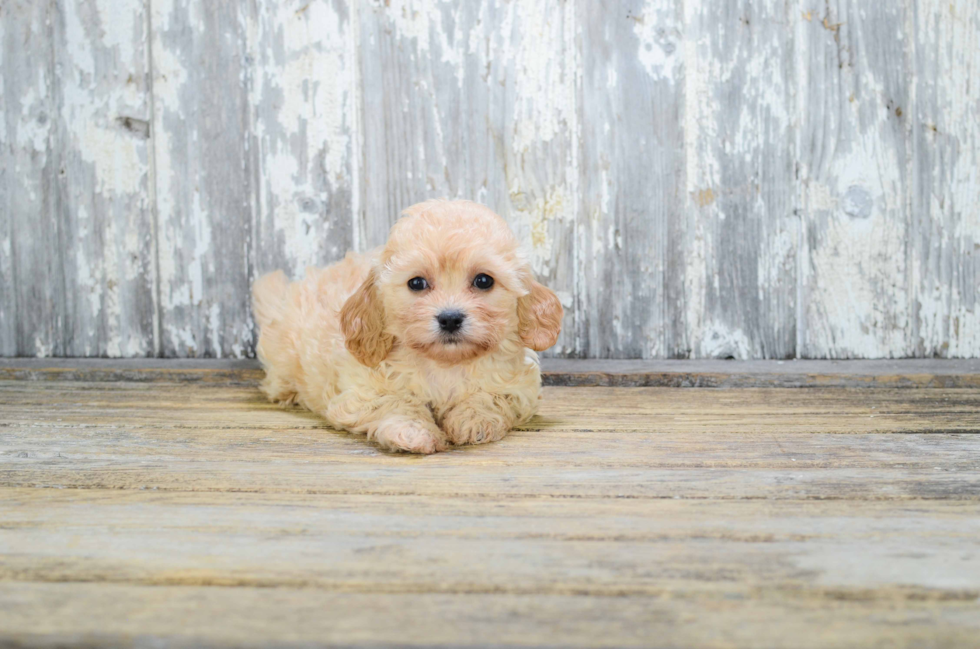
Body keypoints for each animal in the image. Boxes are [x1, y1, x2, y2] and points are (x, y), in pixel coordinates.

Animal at [249, 200, 564, 454]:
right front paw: (414, 433)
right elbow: (396, 403)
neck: (444, 364)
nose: (450, 318)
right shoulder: (363, 392)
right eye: (417, 283)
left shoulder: (518, 387)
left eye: (484, 280)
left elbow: (488, 397)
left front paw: (473, 421)